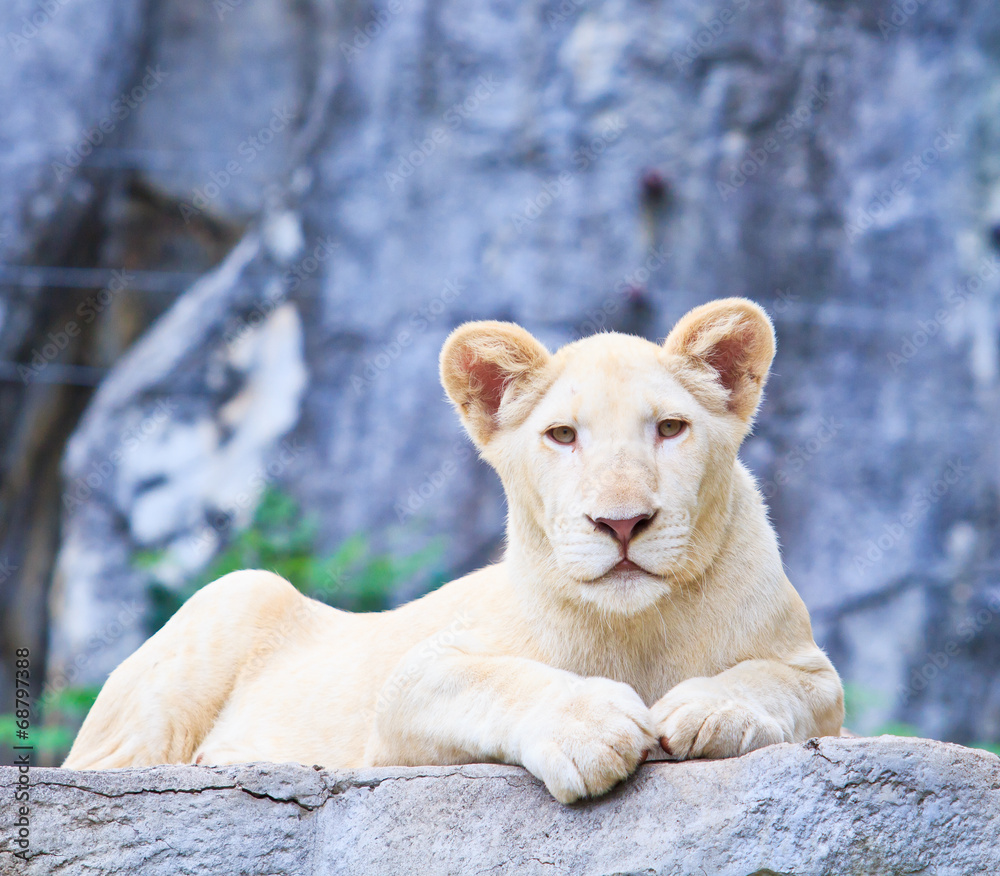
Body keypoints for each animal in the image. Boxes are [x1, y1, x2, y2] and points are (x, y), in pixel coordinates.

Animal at [63, 297, 843, 804]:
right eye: (563, 435)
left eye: (671, 428)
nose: (621, 524)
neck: (636, 627)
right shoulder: (406, 691)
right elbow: (496, 679)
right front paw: (593, 728)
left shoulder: (817, 677)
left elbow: (774, 682)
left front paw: (709, 709)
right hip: (237, 593)